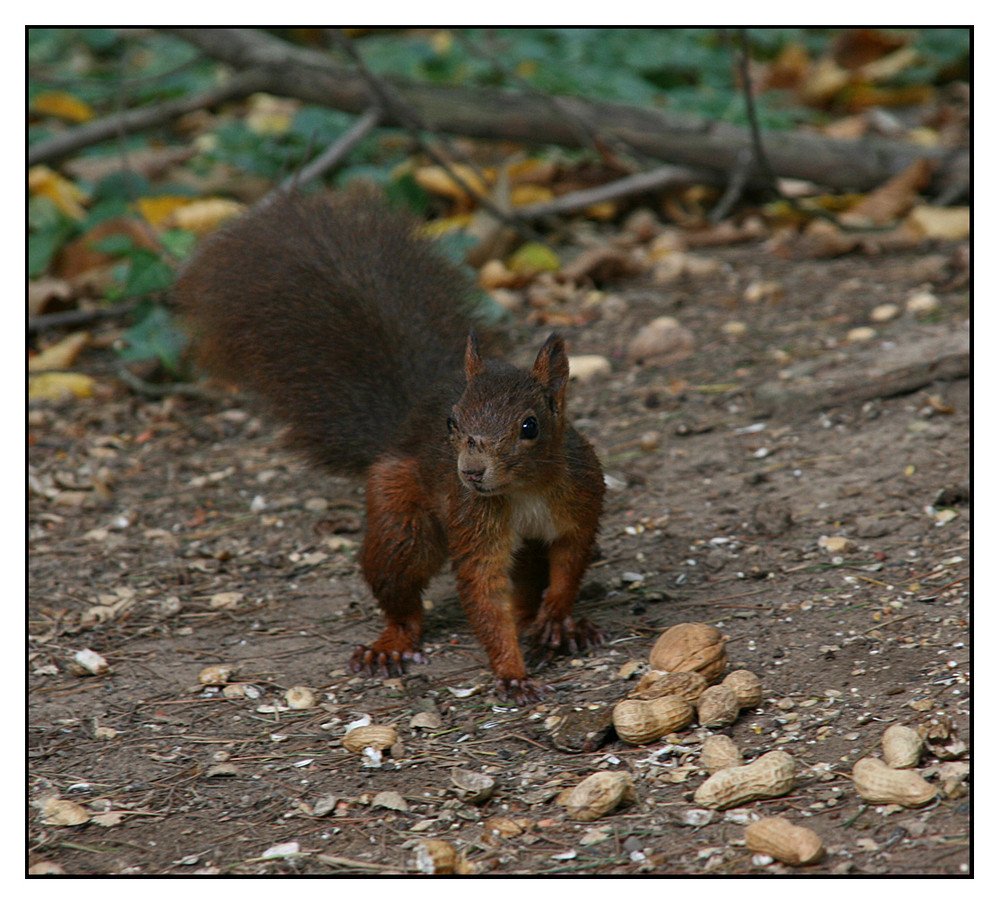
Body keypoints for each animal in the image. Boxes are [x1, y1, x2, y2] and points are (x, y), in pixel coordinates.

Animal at [176, 187, 604, 704]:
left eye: (529, 427)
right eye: (452, 422)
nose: (471, 472)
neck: (525, 491)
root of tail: (403, 423)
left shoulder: (580, 501)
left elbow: (570, 563)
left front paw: (559, 619)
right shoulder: (474, 522)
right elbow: (483, 592)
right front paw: (512, 672)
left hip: (520, 548)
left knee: (527, 584)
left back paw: (548, 623)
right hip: (399, 515)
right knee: (401, 591)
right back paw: (392, 645)